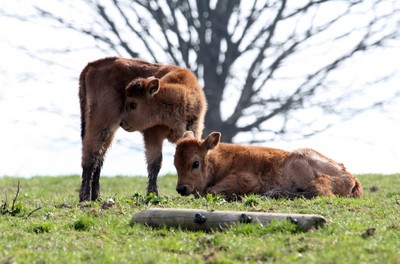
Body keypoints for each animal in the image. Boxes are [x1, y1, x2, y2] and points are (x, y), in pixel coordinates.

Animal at [78, 56, 206, 202]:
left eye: (133, 104)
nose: (122, 122)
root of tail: (92, 65)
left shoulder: (194, 131)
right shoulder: (153, 134)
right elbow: (155, 163)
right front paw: (153, 194)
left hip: (109, 131)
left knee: (100, 157)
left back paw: (96, 197)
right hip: (100, 123)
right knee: (90, 155)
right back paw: (85, 197)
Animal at [174, 131, 362, 199]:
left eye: (195, 163)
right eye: (175, 163)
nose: (181, 188)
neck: (220, 161)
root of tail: (351, 176)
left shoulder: (247, 180)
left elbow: (211, 191)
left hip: (301, 161)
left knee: (321, 193)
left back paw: (274, 193)